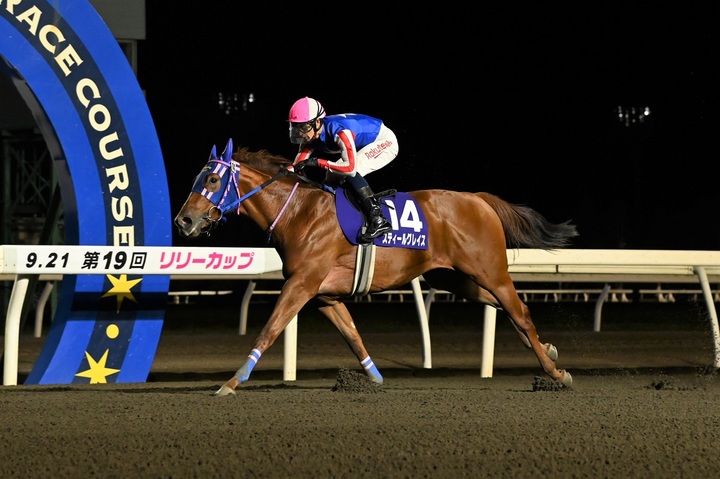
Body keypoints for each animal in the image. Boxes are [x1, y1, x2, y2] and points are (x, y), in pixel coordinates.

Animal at [174, 138, 579, 396]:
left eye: (213, 179)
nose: (184, 222)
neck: (299, 213)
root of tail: (479, 199)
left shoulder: (302, 284)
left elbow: (270, 330)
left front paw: (231, 382)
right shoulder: (323, 295)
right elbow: (353, 335)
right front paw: (374, 378)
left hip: (489, 269)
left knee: (519, 310)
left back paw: (556, 374)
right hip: (451, 277)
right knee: (508, 309)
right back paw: (548, 350)